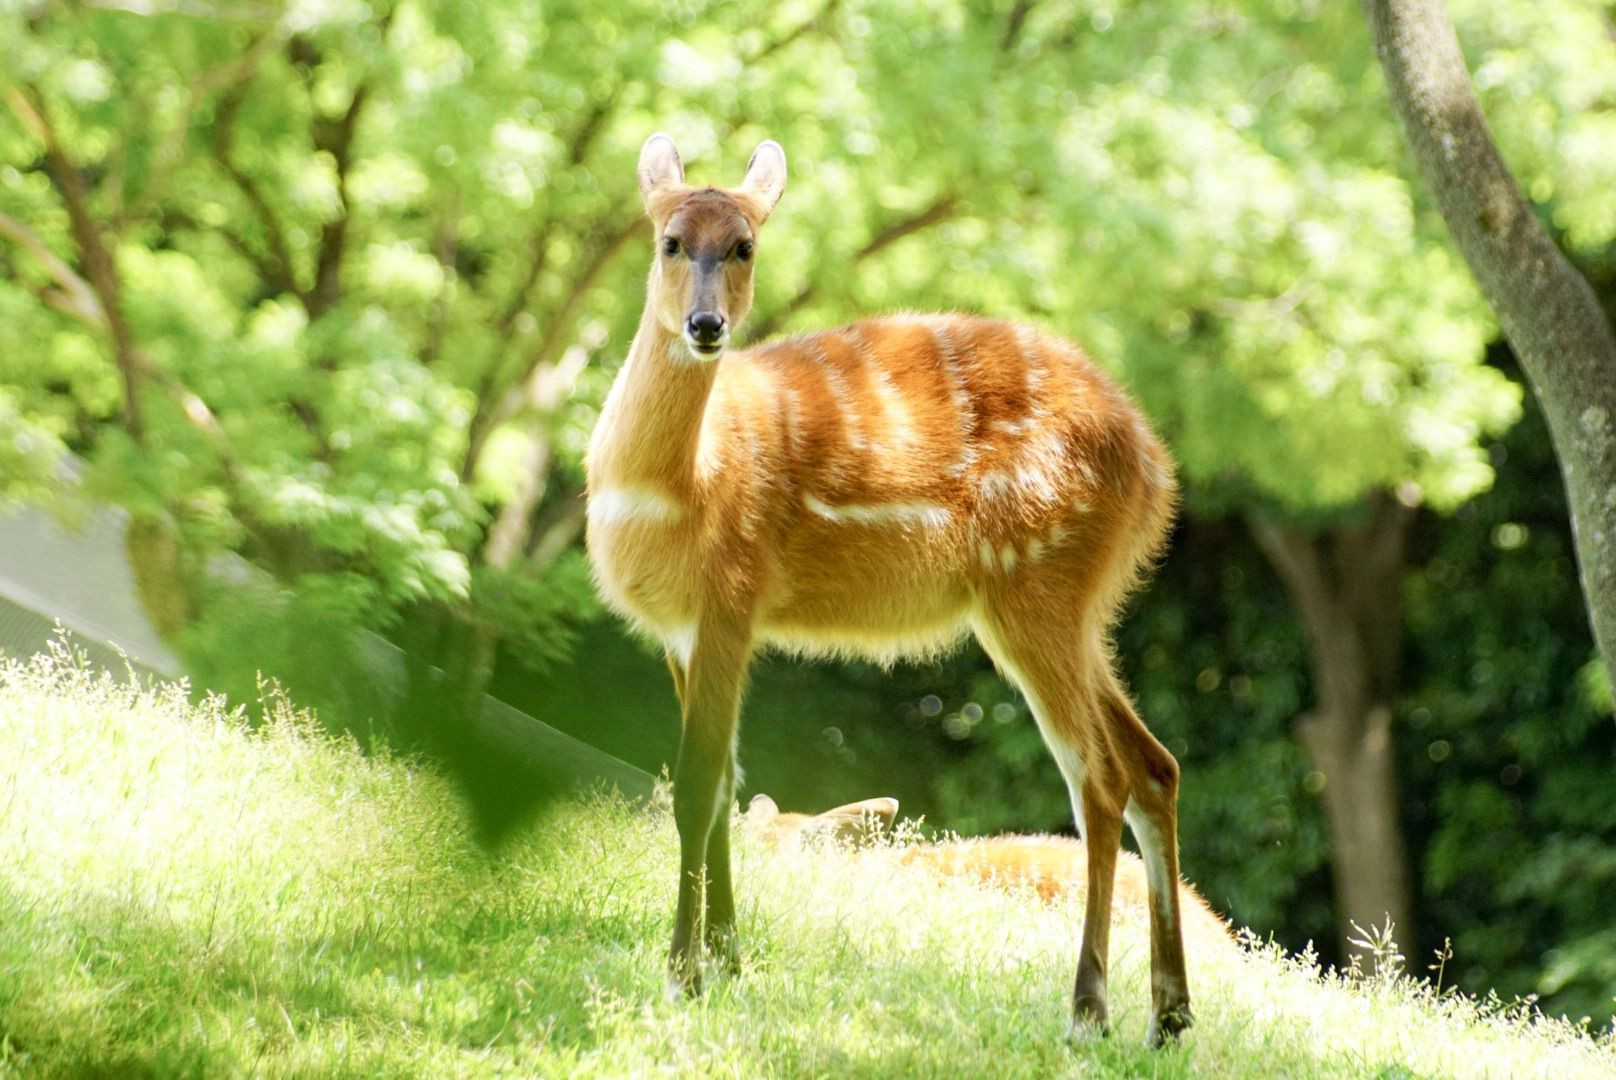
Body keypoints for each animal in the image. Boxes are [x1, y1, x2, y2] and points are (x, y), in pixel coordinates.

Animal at [584, 133, 1187, 1046]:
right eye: (670, 241)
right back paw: (1170, 1018)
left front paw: (683, 975)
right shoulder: (683, 631)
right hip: (1083, 609)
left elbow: (694, 787)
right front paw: (729, 963)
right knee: (1155, 765)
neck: (680, 486)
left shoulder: (730, 598)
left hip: (1034, 586)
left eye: (746, 245)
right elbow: (725, 788)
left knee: (1099, 777)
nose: (705, 326)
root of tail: (1156, 470)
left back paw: (1088, 1013)